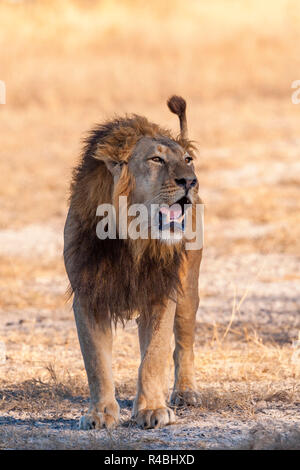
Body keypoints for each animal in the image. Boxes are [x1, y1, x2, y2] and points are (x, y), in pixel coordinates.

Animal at [64, 95, 203, 430]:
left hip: (188, 289)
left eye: (187, 159)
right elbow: (96, 362)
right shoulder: (88, 295)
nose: (191, 181)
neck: (133, 237)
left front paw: (152, 410)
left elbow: (154, 355)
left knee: (183, 344)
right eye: (156, 160)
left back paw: (185, 392)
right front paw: (100, 414)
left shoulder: (162, 292)